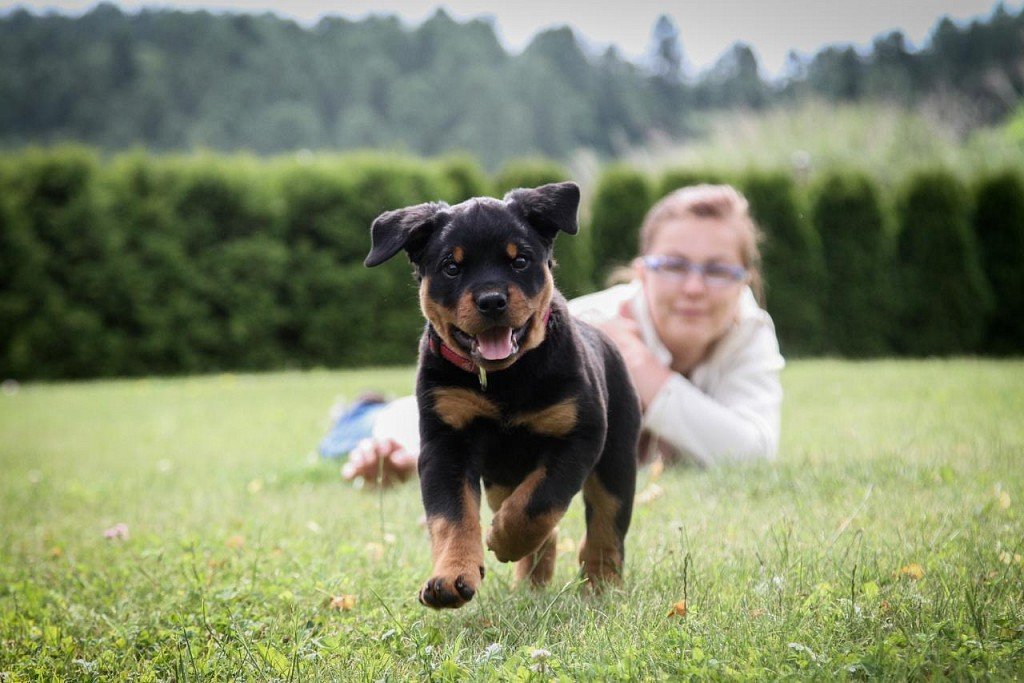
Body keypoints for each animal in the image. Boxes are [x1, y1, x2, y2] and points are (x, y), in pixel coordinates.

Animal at [364, 181, 638, 610]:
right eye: (452, 267)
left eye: (520, 261)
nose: (492, 299)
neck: (505, 379)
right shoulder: (446, 443)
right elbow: (452, 516)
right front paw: (451, 577)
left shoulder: (578, 435)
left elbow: (540, 502)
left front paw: (503, 540)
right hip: (501, 479)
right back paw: (529, 585)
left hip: (617, 459)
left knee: (607, 525)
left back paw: (601, 586)